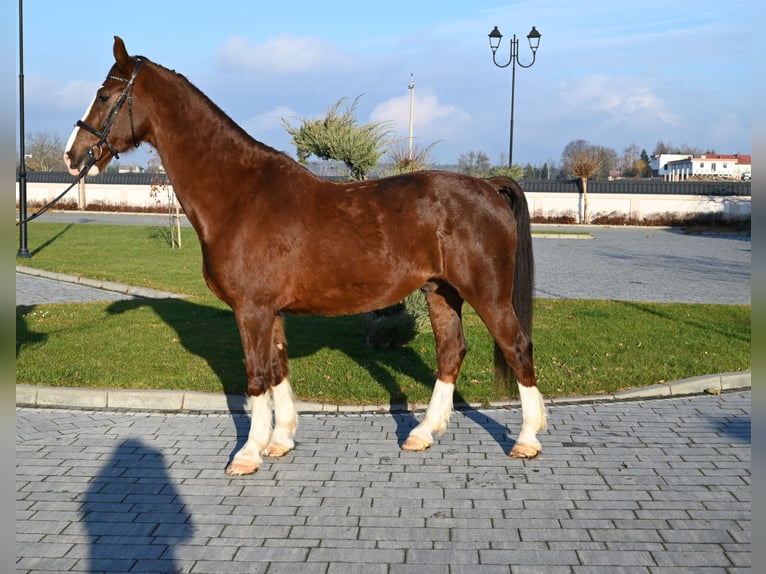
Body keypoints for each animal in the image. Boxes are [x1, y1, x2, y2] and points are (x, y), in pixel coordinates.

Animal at [64, 37, 544, 476]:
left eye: (104, 95)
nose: (73, 155)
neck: (239, 193)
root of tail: (487, 187)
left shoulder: (252, 309)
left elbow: (257, 375)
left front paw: (248, 454)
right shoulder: (271, 311)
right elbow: (278, 369)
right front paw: (280, 440)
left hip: (487, 295)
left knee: (517, 347)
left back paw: (526, 439)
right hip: (441, 292)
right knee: (451, 351)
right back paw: (423, 433)